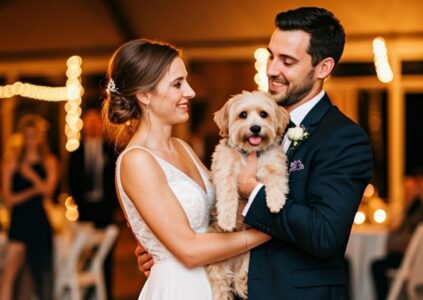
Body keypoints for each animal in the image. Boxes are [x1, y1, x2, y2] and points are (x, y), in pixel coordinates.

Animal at [206, 90, 292, 298]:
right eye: (243, 115)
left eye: (263, 114)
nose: (255, 128)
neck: (249, 152)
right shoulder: (225, 169)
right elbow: (227, 194)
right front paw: (227, 219)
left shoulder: (274, 164)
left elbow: (276, 180)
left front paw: (276, 201)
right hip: (217, 264)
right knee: (221, 284)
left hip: (248, 260)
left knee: (241, 277)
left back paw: (244, 285)